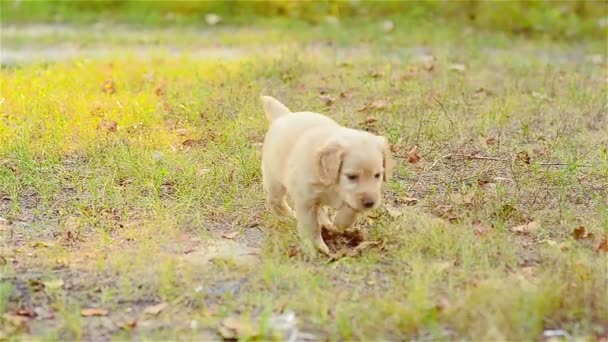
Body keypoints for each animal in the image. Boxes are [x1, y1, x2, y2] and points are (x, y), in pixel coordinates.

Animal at [258, 95, 392, 255]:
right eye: (351, 176)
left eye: (378, 175)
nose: (370, 203)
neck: (331, 183)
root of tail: (284, 115)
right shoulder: (306, 201)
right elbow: (311, 226)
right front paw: (316, 246)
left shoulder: (348, 199)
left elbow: (350, 210)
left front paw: (340, 223)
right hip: (274, 180)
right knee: (275, 201)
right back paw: (287, 216)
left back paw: (327, 223)